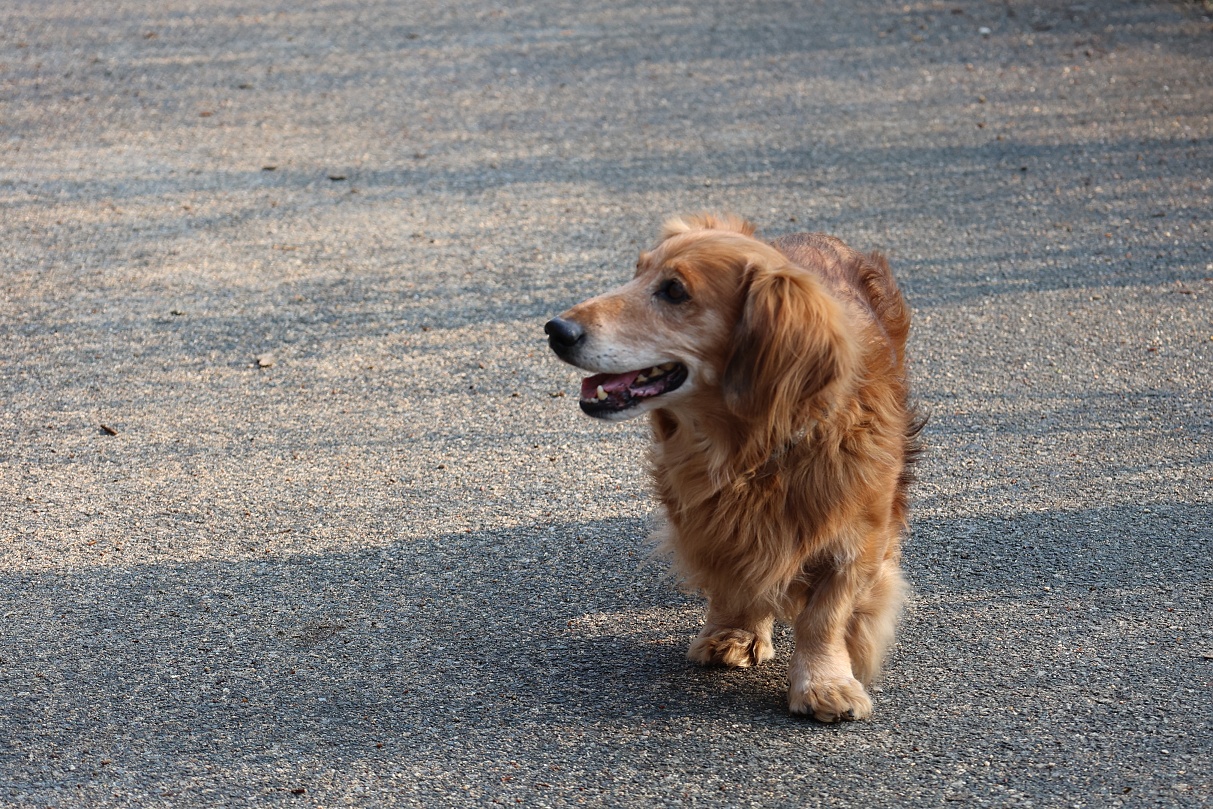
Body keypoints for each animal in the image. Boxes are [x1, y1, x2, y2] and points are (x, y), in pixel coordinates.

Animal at [544, 213, 922, 721]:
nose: (556, 329)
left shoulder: (855, 536)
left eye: (675, 291)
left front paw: (825, 681)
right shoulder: (706, 517)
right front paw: (736, 631)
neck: (754, 449)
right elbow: (735, 576)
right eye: (636, 272)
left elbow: (825, 616)